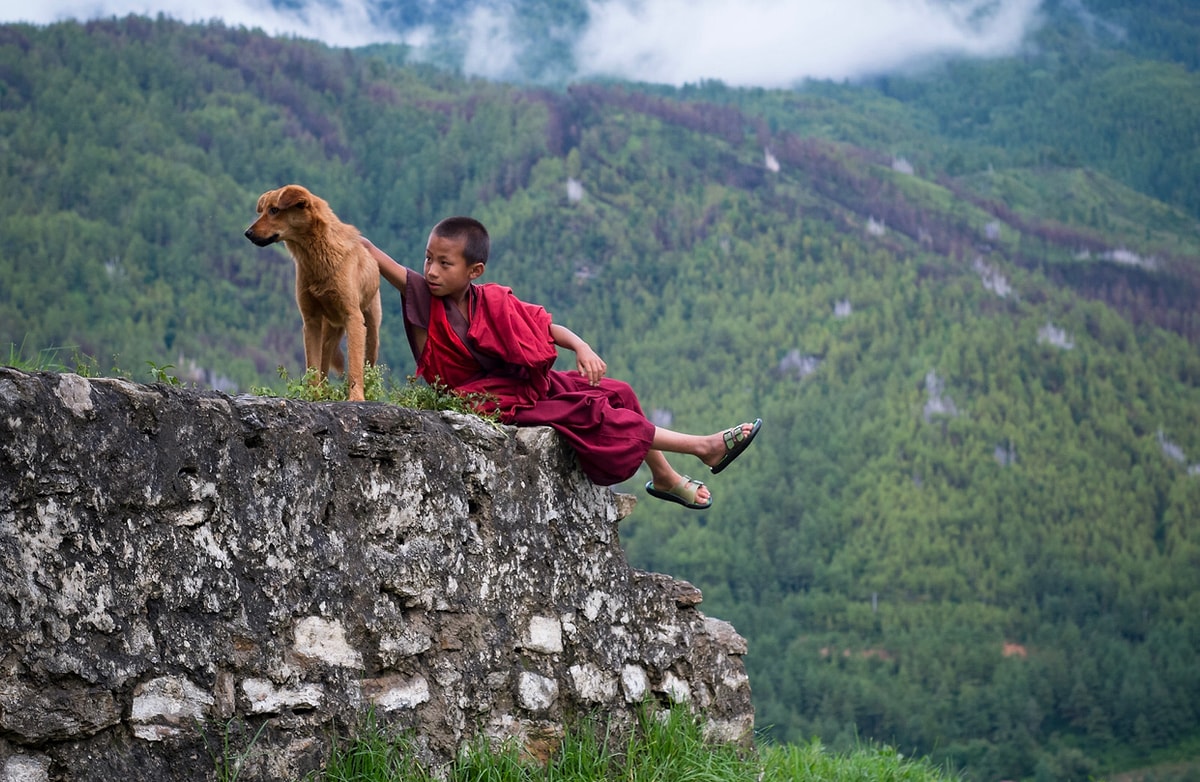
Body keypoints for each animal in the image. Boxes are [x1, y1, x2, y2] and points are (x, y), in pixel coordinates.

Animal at [241, 185, 376, 400]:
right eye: (263, 210)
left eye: (274, 210)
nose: (247, 233)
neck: (318, 258)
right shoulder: (311, 320)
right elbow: (313, 366)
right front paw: (313, 395)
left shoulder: (353, 317)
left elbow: (355, 365)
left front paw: (356, 398)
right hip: (327, 333)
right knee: (324, 363)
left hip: (371, 330)